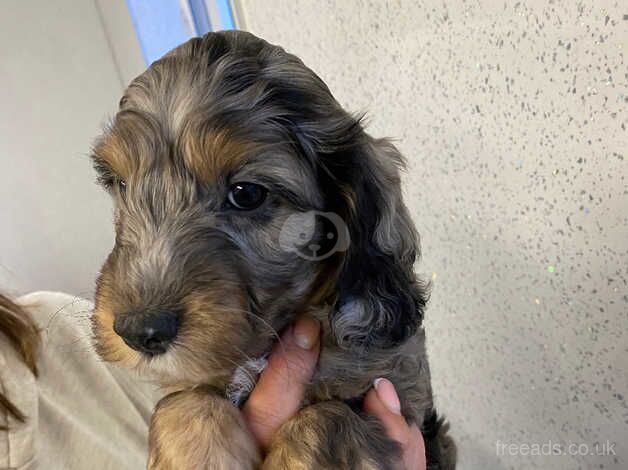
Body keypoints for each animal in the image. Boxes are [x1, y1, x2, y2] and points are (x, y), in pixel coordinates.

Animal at [91, 31, 454, 468]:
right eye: (121, 184)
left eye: (247, 194)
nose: (139, 331)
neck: (265, 345)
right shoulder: (195, 378)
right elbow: (186, 403)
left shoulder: (396, 391)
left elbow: (325, 417)